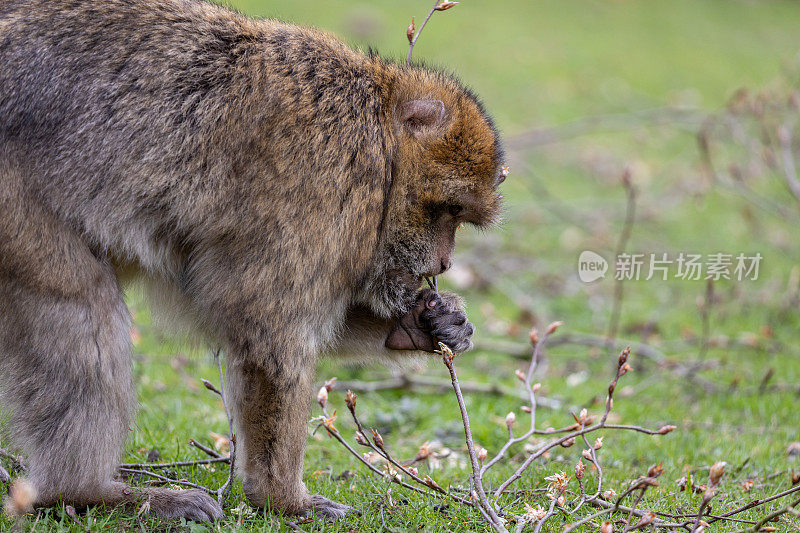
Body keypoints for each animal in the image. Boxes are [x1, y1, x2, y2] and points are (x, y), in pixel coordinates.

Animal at [0, 0, 504, 520]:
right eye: (450, 210)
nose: (443, 263)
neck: (379, 134)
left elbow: (213, 296)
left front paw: (426, 324)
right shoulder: (322, 178)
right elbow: (267, 330)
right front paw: (282, 499)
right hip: (14, 202)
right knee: (80, 300)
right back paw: (86, 491)